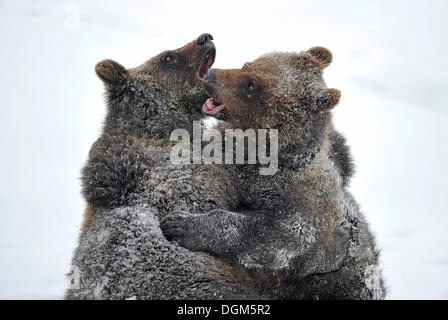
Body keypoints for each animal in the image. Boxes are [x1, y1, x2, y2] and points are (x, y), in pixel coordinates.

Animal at [161, 47, 384, 300]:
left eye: (252, 85)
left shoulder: (305, 207)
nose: (211, 75)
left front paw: (181, 225)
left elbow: (275, 235)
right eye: (247, 64)